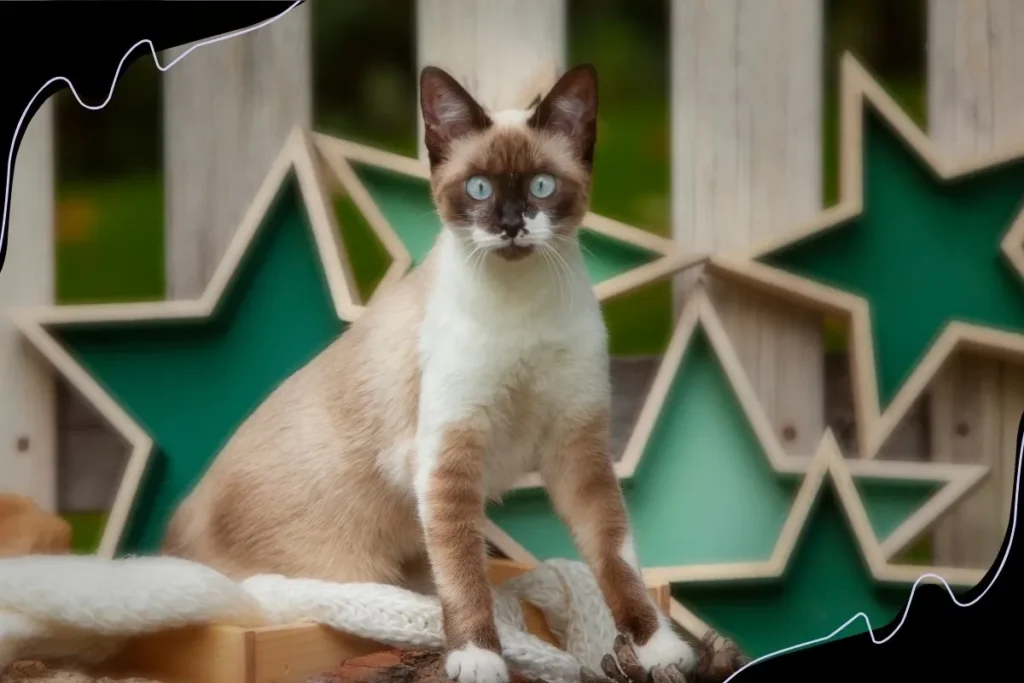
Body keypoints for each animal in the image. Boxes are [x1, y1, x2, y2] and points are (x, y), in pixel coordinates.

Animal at [163, 63, 700, 683]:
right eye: (479, 189)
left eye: (541, 186)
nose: (510, 226)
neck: (522, 304)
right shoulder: (447, 457)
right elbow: (464, 573)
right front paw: (479, 657)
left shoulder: (578, 451)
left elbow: (616, 561)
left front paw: (659, 647)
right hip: (347, 567)